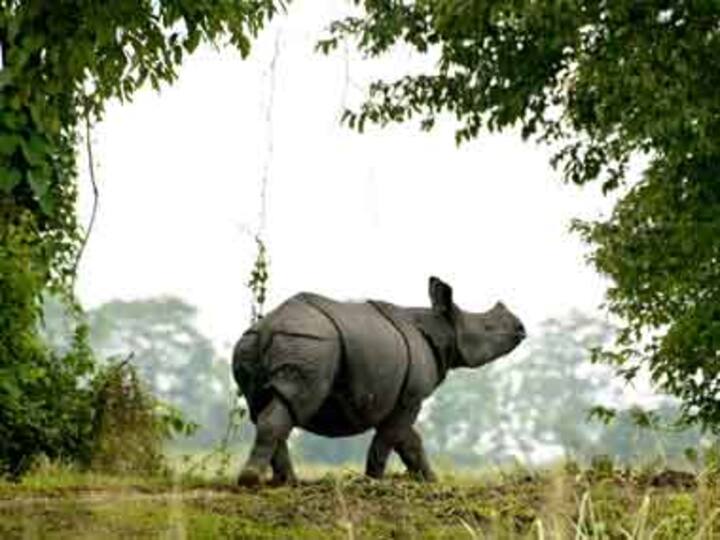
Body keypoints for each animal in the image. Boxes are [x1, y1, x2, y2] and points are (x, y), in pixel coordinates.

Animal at [232, 276, 525, 485]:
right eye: (487, 328)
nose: (521, 328)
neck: (444, 328)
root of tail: (267, 327)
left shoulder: (397, 396)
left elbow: (410, 442)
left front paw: (431, 481)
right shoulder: (410, 397)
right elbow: (390, 438)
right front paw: (374, 481)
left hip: (255, 344)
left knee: (265, 406)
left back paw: (285, 483)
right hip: (311, 344)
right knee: (293, 404)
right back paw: (253, 481)